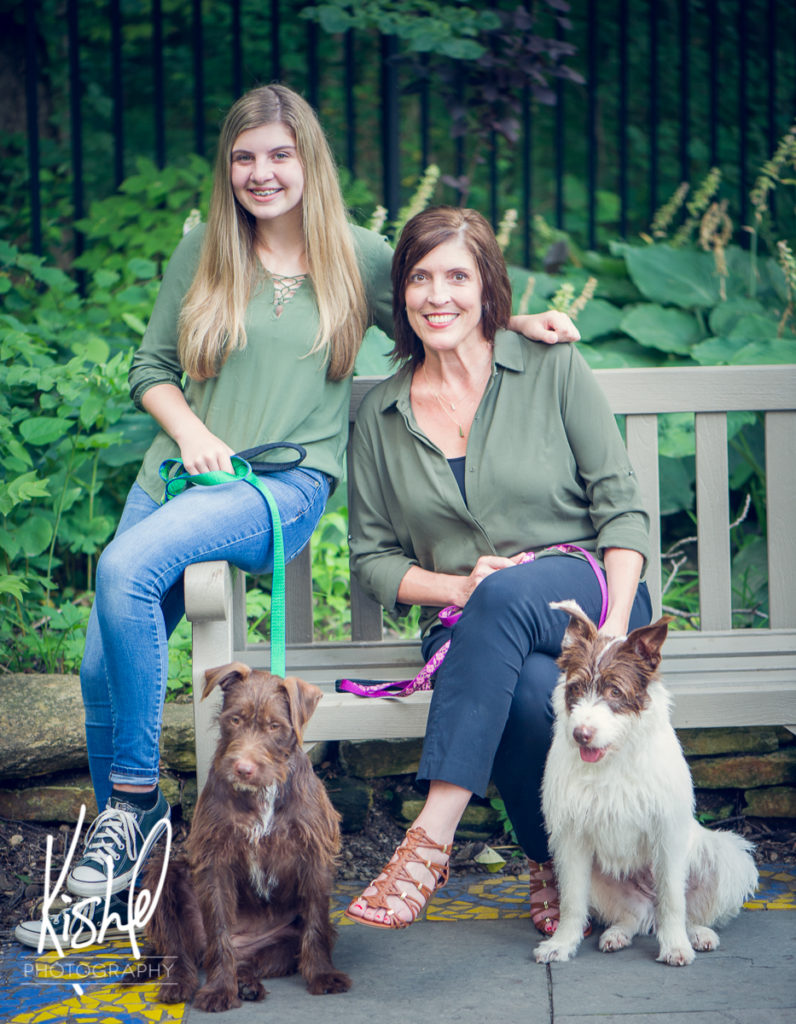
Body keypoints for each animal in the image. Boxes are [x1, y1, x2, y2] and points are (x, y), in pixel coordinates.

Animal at [139, 663, 348, 1007]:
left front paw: (322, 975)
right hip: (163, 875)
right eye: (235, 719)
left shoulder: (313, 852)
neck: (262, 791)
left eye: (275, 726)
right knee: (179, 950)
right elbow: (219, 930)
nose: (243, 768)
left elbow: (316, 924)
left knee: (254, 960)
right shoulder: (214, 860)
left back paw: (247, 983)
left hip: (283, 941)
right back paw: (180, 983)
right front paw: (218, 989)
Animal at [532, 598, 758, 966]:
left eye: (614, 690)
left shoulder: (668, 835)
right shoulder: (571, 840)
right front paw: (562, 944)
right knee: (633, 917)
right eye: (576, 687)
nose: (581, 734)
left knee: (684, 910)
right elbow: (571, 902)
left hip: (728, 856)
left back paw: (696, 934)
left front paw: (676, 945)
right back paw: (618, 933)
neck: (613, 757)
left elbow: (674, 900)